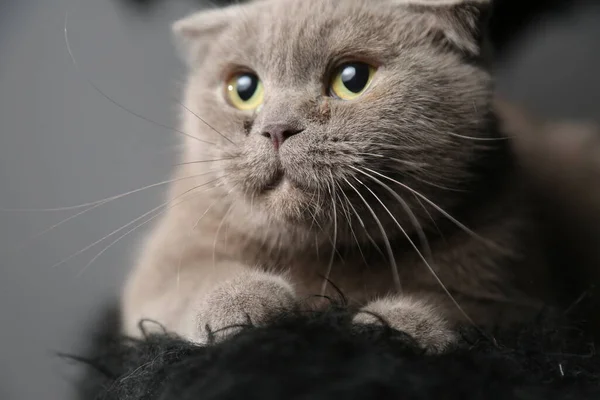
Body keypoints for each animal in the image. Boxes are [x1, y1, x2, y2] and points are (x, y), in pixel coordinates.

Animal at [120, 0, 564, 352]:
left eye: (353, 79)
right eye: (243, 87)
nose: (277, 128)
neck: (327, 257)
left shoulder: (512, 283)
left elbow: (457, 304)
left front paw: (393, 325)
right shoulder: (167, 258)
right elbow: (191, 280)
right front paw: (245, 301)